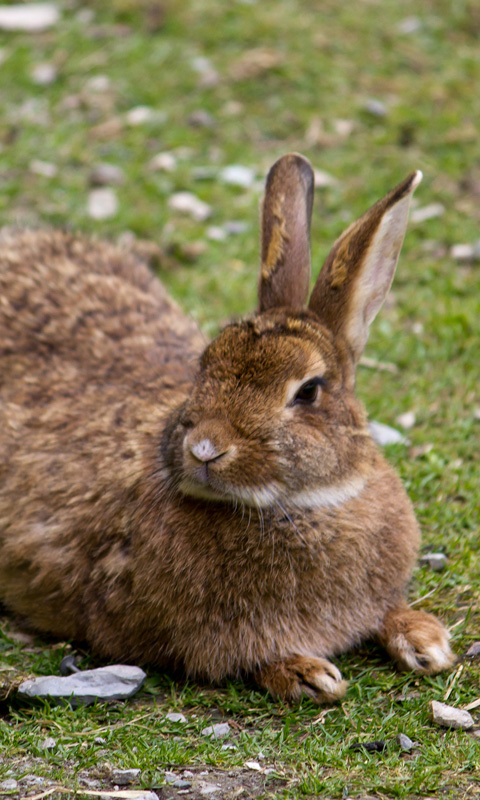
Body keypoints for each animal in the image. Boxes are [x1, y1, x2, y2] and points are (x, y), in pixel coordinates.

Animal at [0, 155, 454, 700]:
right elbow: (244, 658)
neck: (300, 507)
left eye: (308, 391)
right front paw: (308, 674)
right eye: (204, 365)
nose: (204, 449)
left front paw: (425, 641)